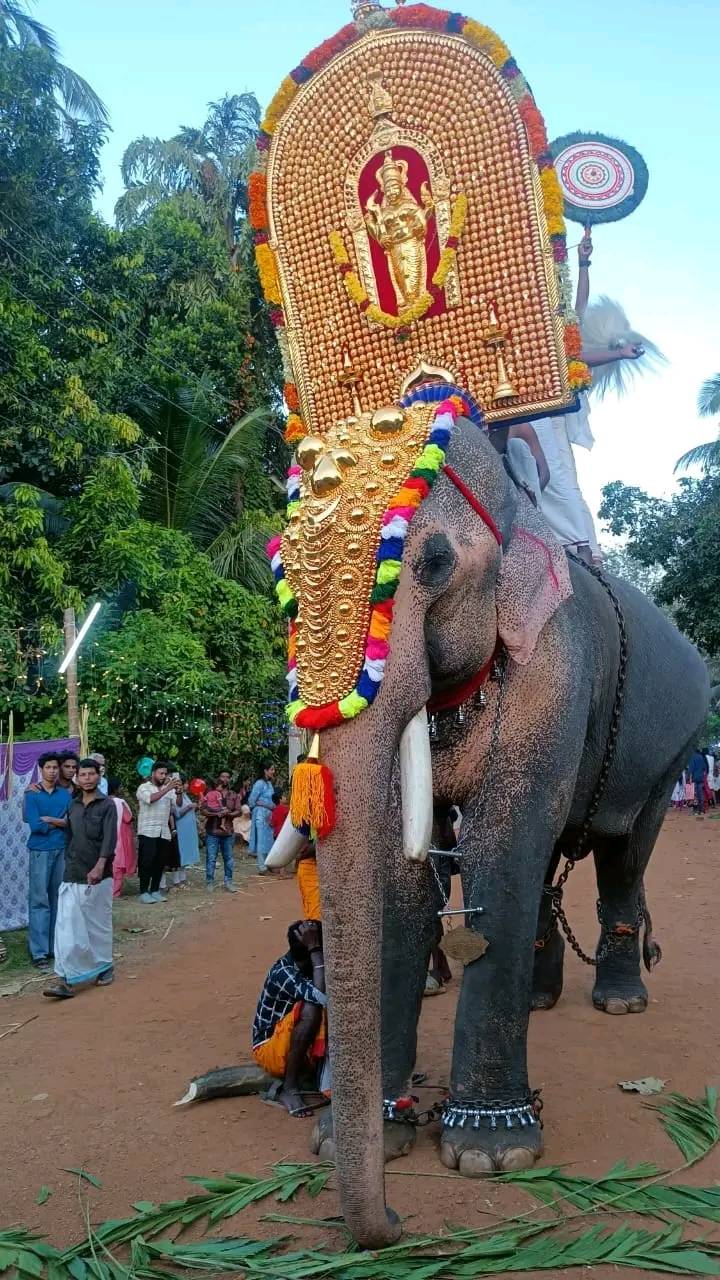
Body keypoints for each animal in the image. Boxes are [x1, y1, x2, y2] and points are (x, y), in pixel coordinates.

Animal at [245, 0, 707, 1244]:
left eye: (435, 560)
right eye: (282, 577)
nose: (384, 1227)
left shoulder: (557, 665)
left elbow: (498, 840)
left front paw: (490, 1155)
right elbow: (420, 876)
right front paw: (371, 1133)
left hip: (676, 742)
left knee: (617, 847)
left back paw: (615, 996)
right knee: (550, 864)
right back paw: (546, 990)